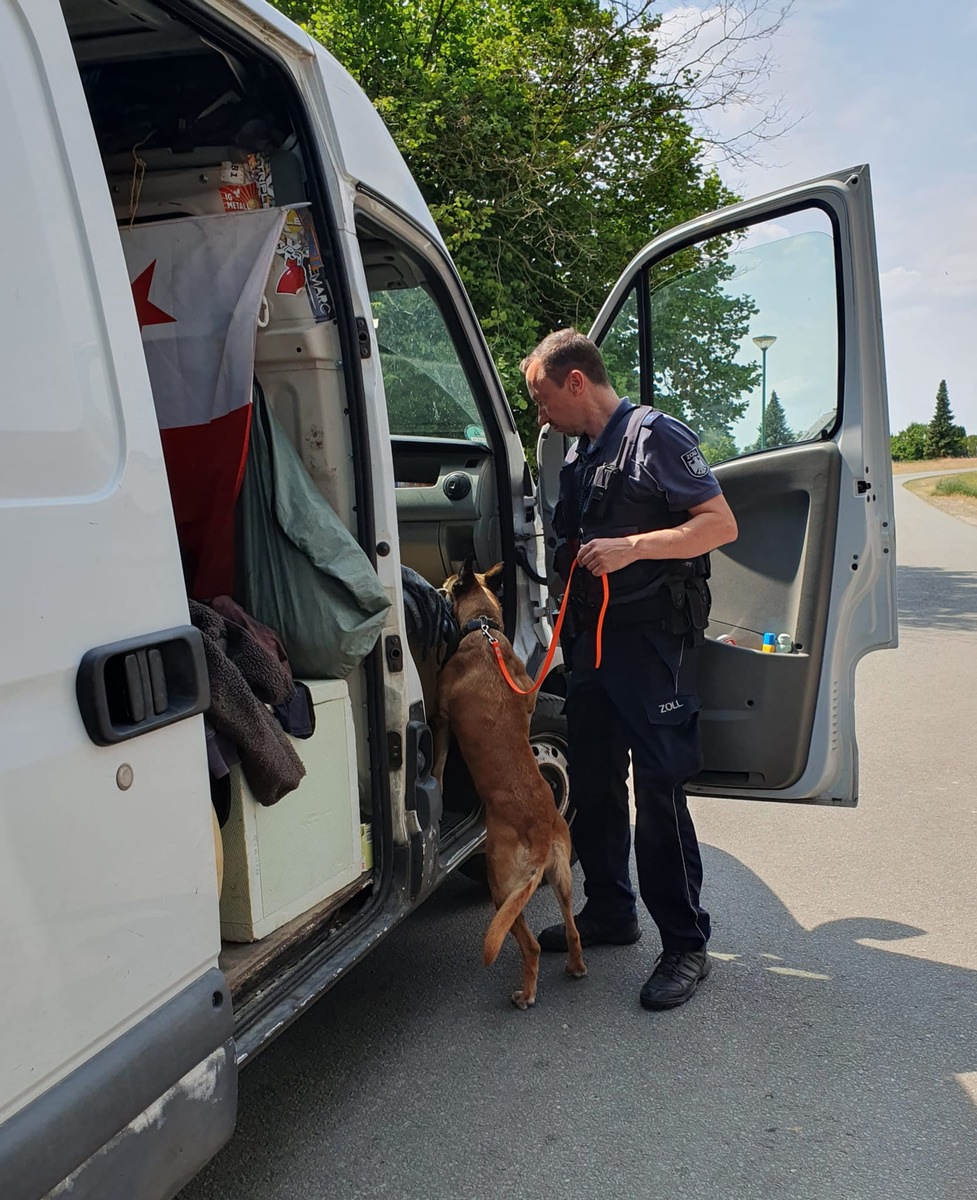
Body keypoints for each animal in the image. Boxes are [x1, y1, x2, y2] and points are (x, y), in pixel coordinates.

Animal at [436, 559, 588, 1003]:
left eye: (448, 586)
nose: (436, 589)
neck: (485, 631)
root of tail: (542, 832)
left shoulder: (442, 719)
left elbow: (438, 760)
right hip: (561, 881)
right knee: (573, 931)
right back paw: (575, 967)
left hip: (501, 886)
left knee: (530, 944)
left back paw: (526, 994)